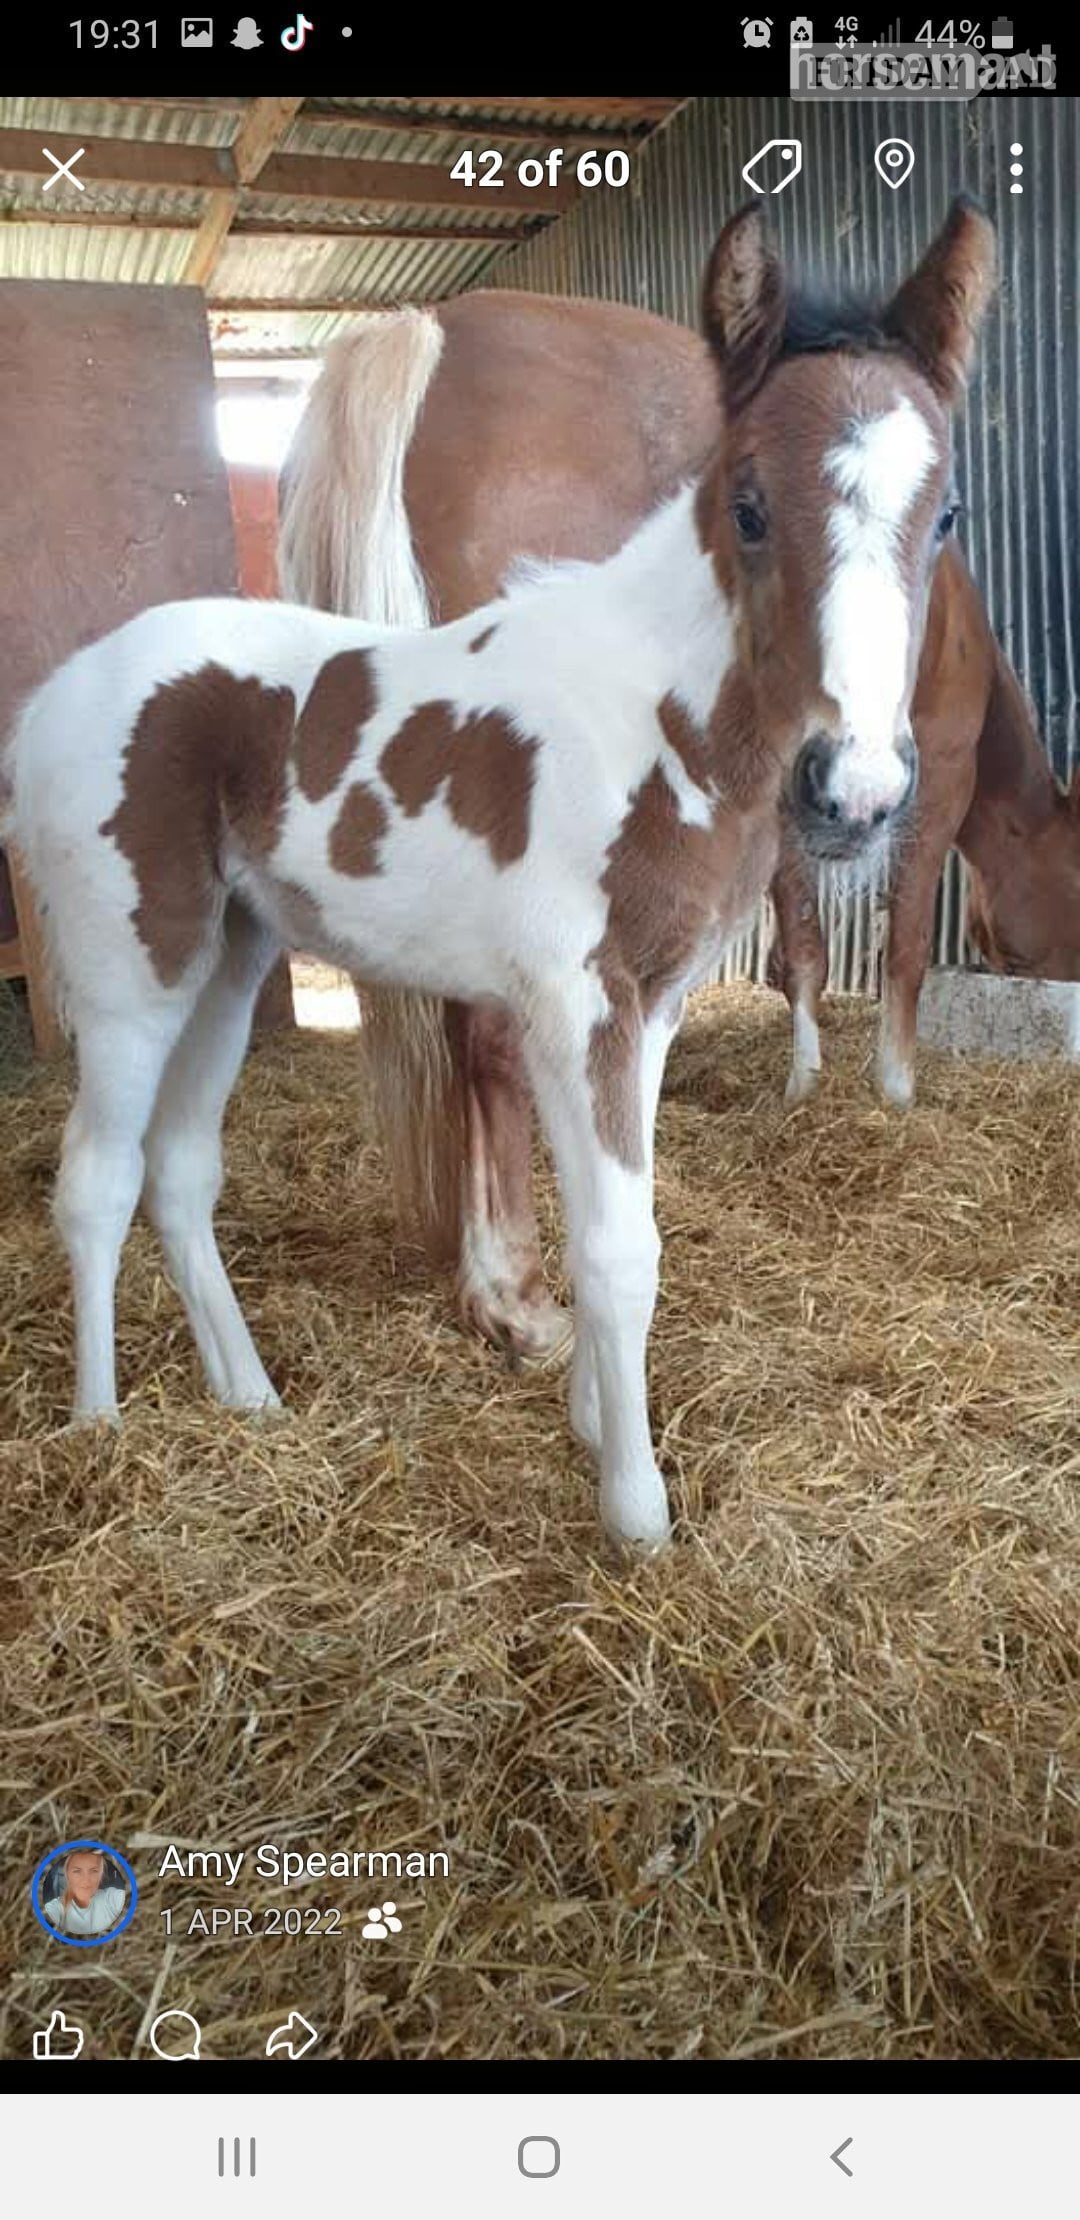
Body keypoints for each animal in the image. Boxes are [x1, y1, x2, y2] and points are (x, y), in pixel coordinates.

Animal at [4, 200, 993, 1548]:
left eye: (941, 516)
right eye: (745, 504)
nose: (853, 792)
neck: (647, 712)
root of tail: (55, 699)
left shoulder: (651, 1007)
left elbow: (600, 1216)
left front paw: (587, 1422)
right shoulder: (578, 1002)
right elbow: (621, 1248)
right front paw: (635, 1510)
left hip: (230, 965)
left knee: (180, 1172)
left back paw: (249, 1395)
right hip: (131, 975)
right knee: (95, 1180)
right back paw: (100, 1429)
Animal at [280, 217, 1074, 1367]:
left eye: (943, 512)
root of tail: (425, 336)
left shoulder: (785, 800)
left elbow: (798, 947)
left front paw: (802, 1079)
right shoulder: (931, 779)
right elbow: (903, 946)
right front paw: (892, 1089)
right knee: (493, 1035)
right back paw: (516, 1295)